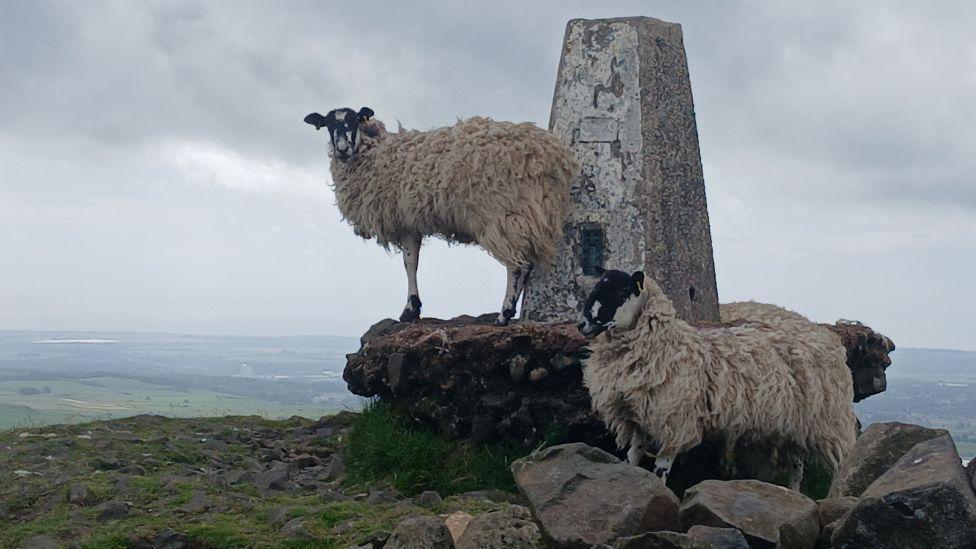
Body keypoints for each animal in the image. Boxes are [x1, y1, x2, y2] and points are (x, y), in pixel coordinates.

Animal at [304, 107, 576, 325]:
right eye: (328, 124)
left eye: (353, 121)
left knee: (518, 266)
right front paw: (413, 309)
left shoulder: (404, 220)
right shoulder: (410, 222)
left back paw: (504, 315)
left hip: (504, 214)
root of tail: (551, 156)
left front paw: (410, 310)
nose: (342, 149)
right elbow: (412, 263)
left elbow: (409, 264)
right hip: (529, 214)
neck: (374, 154)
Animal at [577, 268, 857, 487]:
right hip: (793, 422)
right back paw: (792, 493)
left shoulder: (674, 422)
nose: (581, 324)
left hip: (828, 422)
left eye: (619, 291)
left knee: (841, 465)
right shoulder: (638, 419)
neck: (667, 345)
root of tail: (825, 334)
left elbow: (661, 469)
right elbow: (632, 460)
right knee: (797, 466)